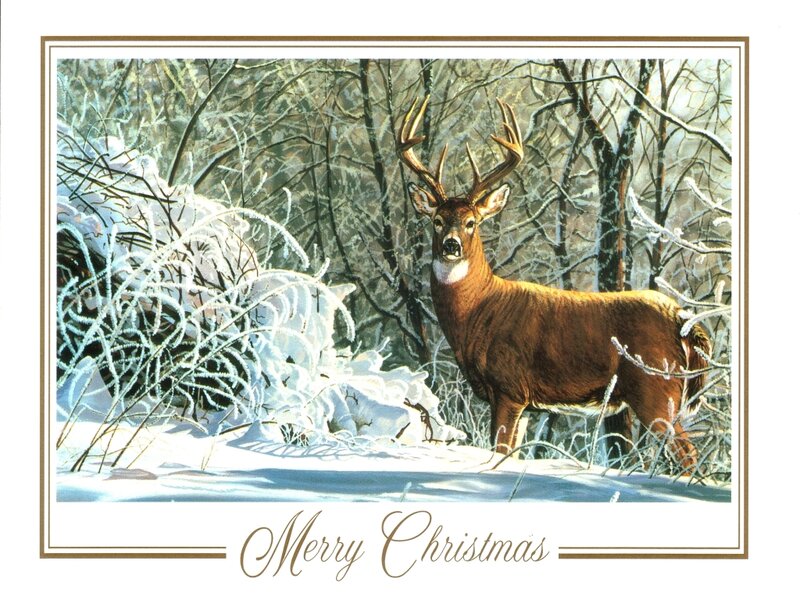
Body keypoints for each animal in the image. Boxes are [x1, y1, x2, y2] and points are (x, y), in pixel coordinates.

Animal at [398, 96, 711, 471]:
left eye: (472, 221)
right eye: (437, 220)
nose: (451, 245)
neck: (478, 311)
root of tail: (683, 319)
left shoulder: (509, 388)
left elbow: (498, 450)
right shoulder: (527, 404)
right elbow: (511, 453)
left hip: (656, 389)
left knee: (688, 454)